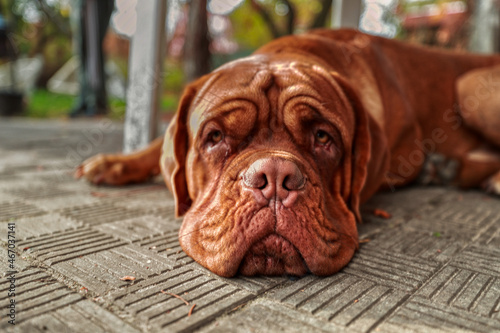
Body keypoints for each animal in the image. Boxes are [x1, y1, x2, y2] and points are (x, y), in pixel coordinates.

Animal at [75, 29, 500, 276]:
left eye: (324, 137)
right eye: (214, 137)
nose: (276, 178)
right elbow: (159, 146)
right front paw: (116, 162)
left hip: (471, 84)